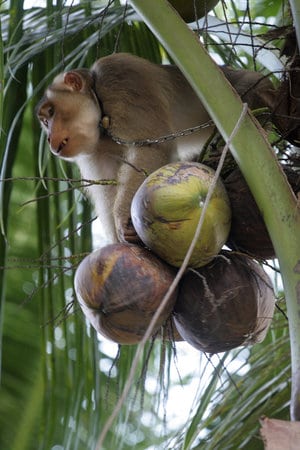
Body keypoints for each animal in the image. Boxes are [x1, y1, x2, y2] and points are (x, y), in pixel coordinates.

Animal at [35, 52, 274, 244]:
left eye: (51, 113)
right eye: (45, 122)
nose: (48, 139)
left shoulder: (118, 77)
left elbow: (152, 147)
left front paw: (123, 218)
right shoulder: (95, 152)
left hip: (253, 92)